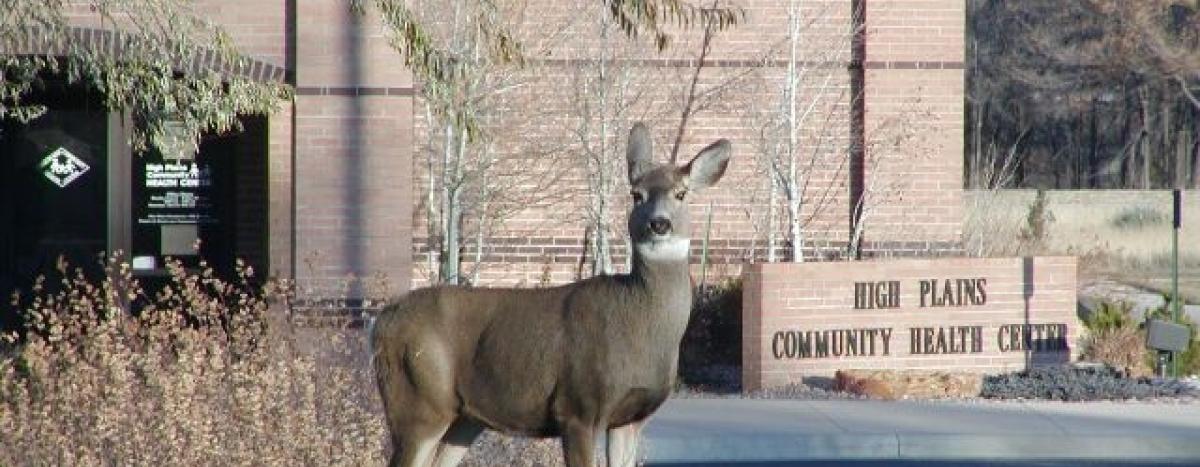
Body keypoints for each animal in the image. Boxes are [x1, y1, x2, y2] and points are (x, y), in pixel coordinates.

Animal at [372, 121, 729, 463]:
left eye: (681, 194)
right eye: (636, 194)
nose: (659, 224)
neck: (640, 323)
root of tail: (381, 322)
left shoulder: (630, 417)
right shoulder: (578, 407)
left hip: (464, 418)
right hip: (417, 401)